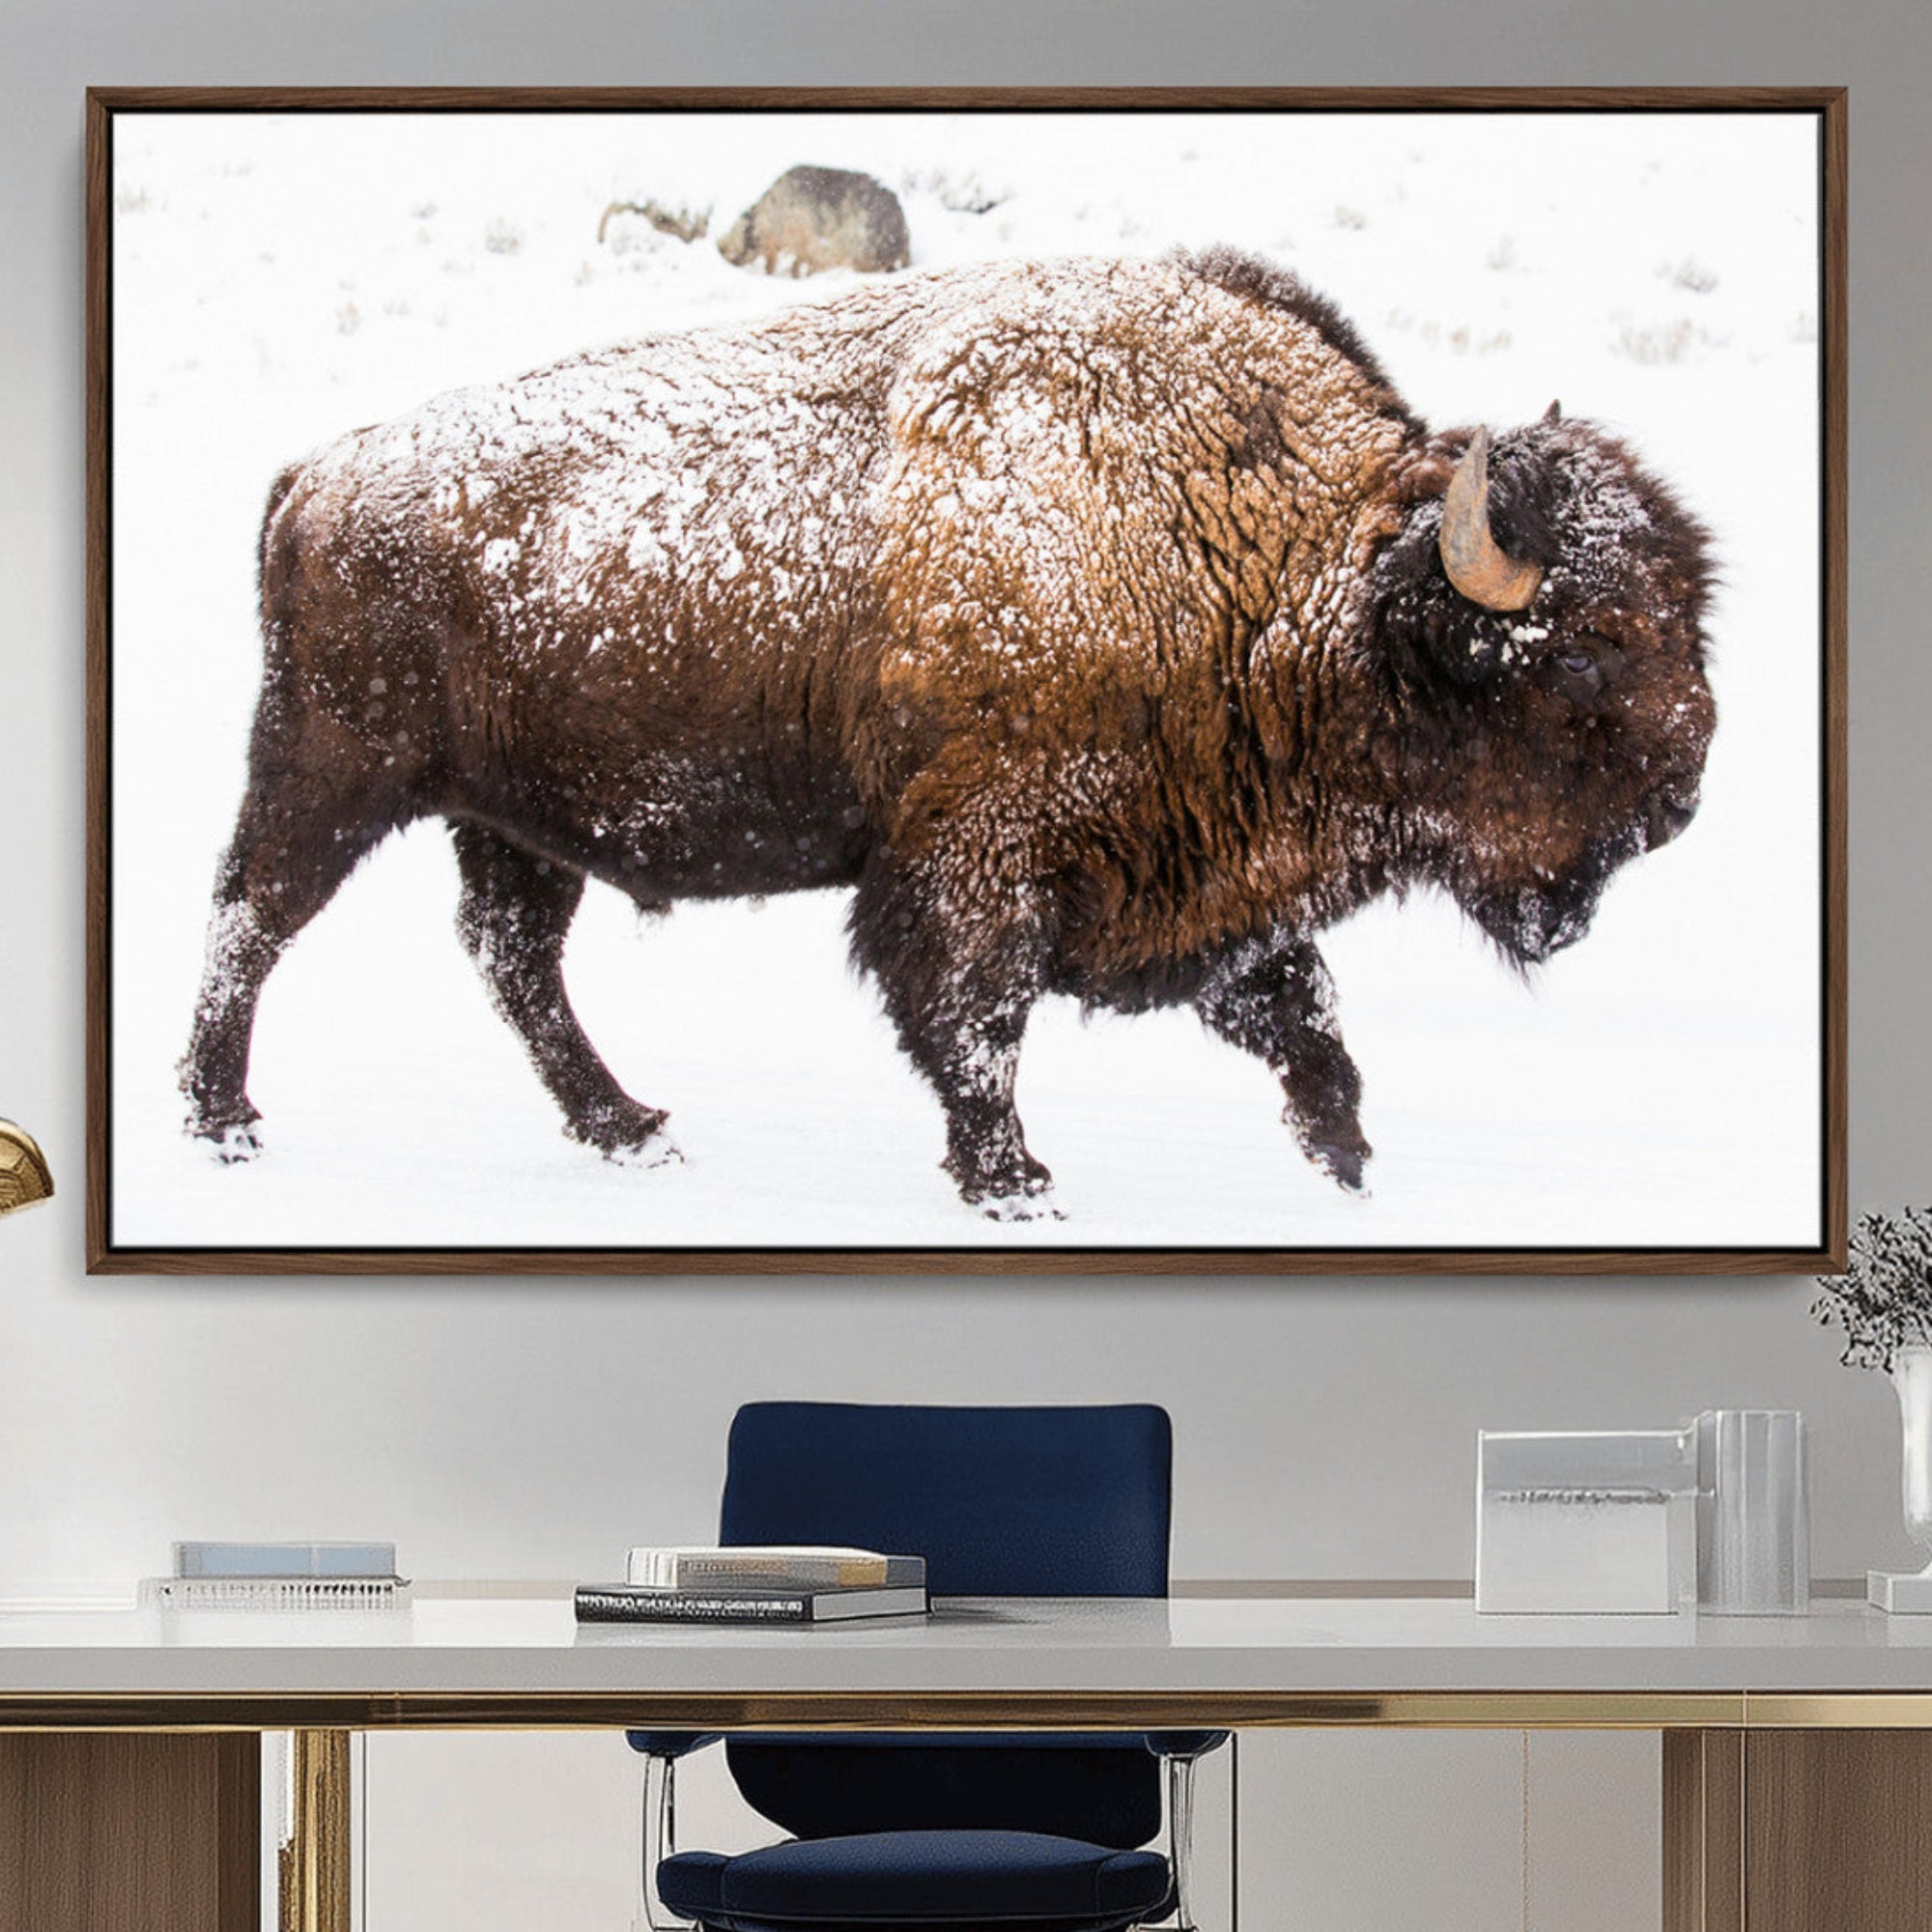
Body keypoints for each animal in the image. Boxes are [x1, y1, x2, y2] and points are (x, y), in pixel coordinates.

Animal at [181, 247, 1714, 1217]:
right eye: (1584, 649)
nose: (1684, 795)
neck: (1282, 566)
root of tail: (318, 471)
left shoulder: (1209, 873)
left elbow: (1301, 1016)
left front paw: (1346, 1162)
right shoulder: (980, 855)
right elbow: (977, 1019)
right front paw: (1013, 1182)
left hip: (514, 819)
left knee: (512, 961)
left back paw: (630, 1132)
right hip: (331, 770)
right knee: (251, 919)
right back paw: (223, 1122)